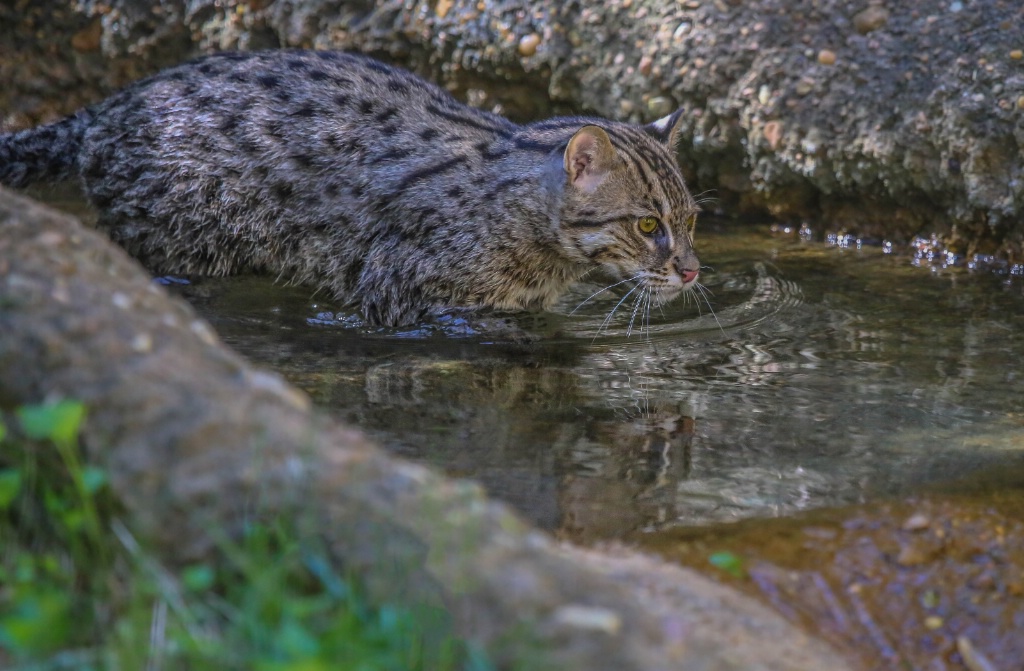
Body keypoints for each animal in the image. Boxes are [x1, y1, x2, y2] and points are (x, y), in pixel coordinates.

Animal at [0, 48, 700, 327]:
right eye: (647, 225)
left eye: (691, 221)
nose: (693, 271)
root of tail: (109, 106)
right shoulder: (403, 293)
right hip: (184, 239)